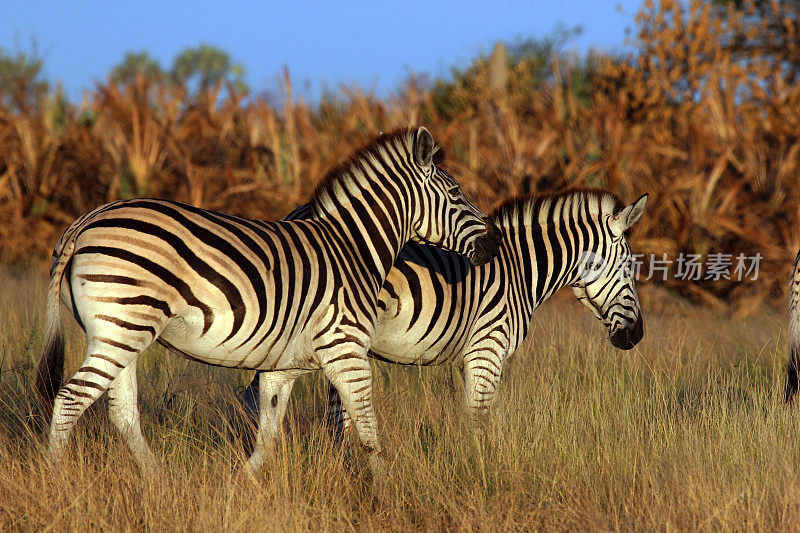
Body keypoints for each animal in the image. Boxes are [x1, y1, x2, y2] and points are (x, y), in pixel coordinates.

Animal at [37, 125, 504, 474]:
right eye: (457, 194)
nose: (496, 242)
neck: (353, 248)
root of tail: (88, 218)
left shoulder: (282, 367)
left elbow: (269, 436)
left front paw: (240, 489)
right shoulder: (347, 349)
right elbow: (368, 430)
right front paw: (386, 490)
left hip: (120, 332)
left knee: (122, 414)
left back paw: (156, 482)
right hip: (122, 327)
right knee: (70, 400)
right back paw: (58, 479)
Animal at [245, 187, 648, 432]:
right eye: (629, 266)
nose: (637, 335)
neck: (520, 270)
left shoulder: (471, 357)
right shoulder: (488, 349)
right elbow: (480, 419)